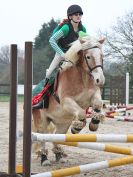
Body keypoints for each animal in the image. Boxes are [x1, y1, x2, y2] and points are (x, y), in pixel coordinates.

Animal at [32, 35, 105, 165]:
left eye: (102, 56)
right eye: (88, 56)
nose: (100, 80)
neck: (83, 78)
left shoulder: (94, 95)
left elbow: (97, 104)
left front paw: (94, 123)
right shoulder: (66, 101)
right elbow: (81, 113)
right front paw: (76, 128)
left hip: (63, 123)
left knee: (56, 137)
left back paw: (59, 155)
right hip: (41, 120)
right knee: (42, 137)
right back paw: (44, 159)